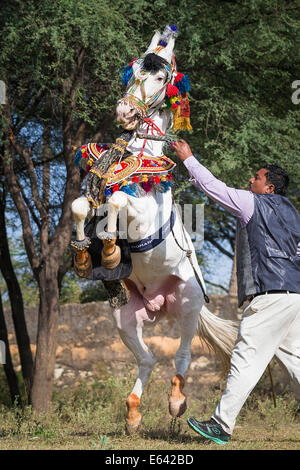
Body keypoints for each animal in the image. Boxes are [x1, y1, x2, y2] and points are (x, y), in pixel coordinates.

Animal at [71, 26, 238, 434]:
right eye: (131, 71)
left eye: (162, 77)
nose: (126, 112)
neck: (140, 158)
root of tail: (160, 307)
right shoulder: (92, 198)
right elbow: (83, 206)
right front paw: (86, 255)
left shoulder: (144, 214)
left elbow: (118, 201)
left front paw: (110, 249)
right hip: (124, 317)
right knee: (147, 360)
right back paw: (132, 415)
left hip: (189, 305)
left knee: (182, 355)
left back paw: (177, 402)